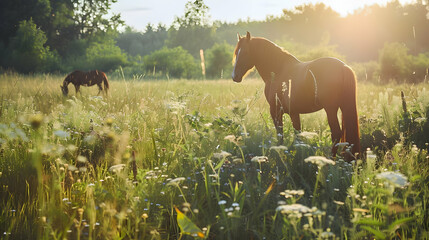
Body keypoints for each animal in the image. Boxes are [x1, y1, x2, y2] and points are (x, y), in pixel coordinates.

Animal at [232, 31, 360, 159]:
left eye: (245, 52)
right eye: (236, 52)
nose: (235, 76)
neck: (279, 71)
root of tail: (343, 67)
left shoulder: (275, 111)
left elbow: (280, 134)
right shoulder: (294, 112)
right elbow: (298, 134)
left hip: (330, 109)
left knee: (336, 133)